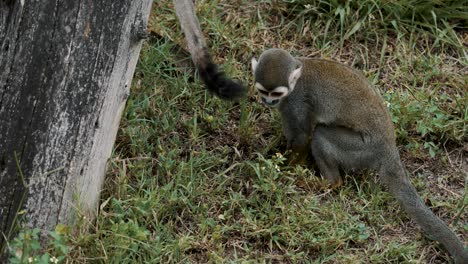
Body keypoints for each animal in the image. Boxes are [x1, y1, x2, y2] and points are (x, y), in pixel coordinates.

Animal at [252, 48, 468, 262]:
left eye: (276, 93)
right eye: (263, 91)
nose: (268, 101)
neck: (295, 81)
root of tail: (389, 148)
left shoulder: (296, 102)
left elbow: (302, 137)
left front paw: (284, 172)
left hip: (362, 149)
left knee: (320, 135)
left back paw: (330, 183)